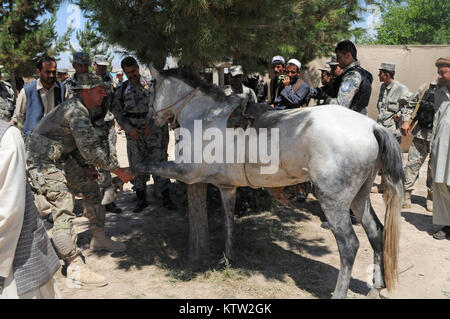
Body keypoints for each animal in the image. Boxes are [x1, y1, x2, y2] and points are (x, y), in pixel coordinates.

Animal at [138, 66, 404, 298]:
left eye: (150, 88)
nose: (147, 122)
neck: (206, 117)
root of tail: (371, 127)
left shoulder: (187, 172)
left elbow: (151, 165)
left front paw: (134, 170)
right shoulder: (227, 187)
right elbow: (228, 222)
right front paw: (228, 258)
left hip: (334, 202)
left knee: (349, 245)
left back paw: (339, 293)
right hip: (359, 198)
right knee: (376, 233)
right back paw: (375, 287)